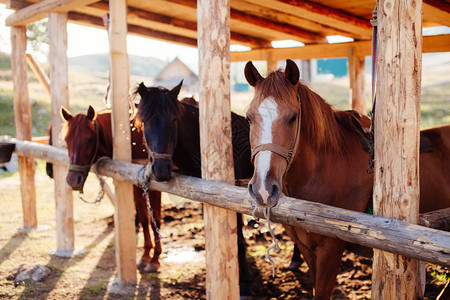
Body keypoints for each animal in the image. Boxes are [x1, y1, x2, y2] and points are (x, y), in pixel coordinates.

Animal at [59, 106, 162, 274]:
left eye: (89, 139)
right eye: (67, 140)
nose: (73, 180)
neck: (134, 136)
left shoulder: (153, 189)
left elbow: (156, 222)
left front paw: (155, 260)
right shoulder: (136, 186)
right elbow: (145, 220)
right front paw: (146, 256)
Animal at [244, 59, 450, 298]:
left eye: (293, 117)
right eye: (249, 118)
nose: (263, 189)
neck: (324, 169)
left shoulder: (330, 250)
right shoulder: (307, 248)